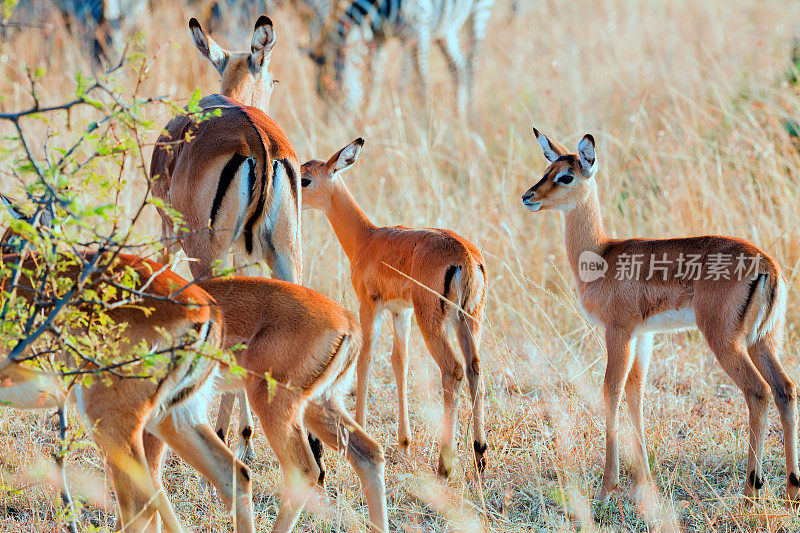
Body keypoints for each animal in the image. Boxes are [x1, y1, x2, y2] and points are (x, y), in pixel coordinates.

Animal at [306, 0, 494, 117]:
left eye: (337, 93)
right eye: (319, 94)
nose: (329, 126)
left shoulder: (418, 29)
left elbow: (419, 83)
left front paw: (425, 123)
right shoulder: (378, 37)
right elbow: (374, 81)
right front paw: (368, 116)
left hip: (479, 12)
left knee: (473, 65)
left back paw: (471, 117)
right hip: (446, 28)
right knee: (458, 67)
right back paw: (458, 116)